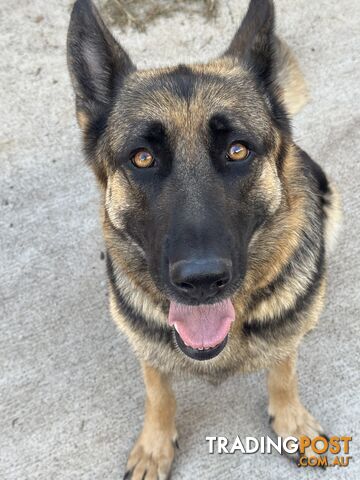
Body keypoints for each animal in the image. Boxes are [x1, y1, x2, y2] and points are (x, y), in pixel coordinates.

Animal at [67, 0, 340, 476]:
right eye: (142, 158)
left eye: (238, 150)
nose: (201, 281)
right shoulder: (147, 346)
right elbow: (158, 391)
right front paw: (155, 446)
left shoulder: (284, 337)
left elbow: (283, 371)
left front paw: (291, 421)